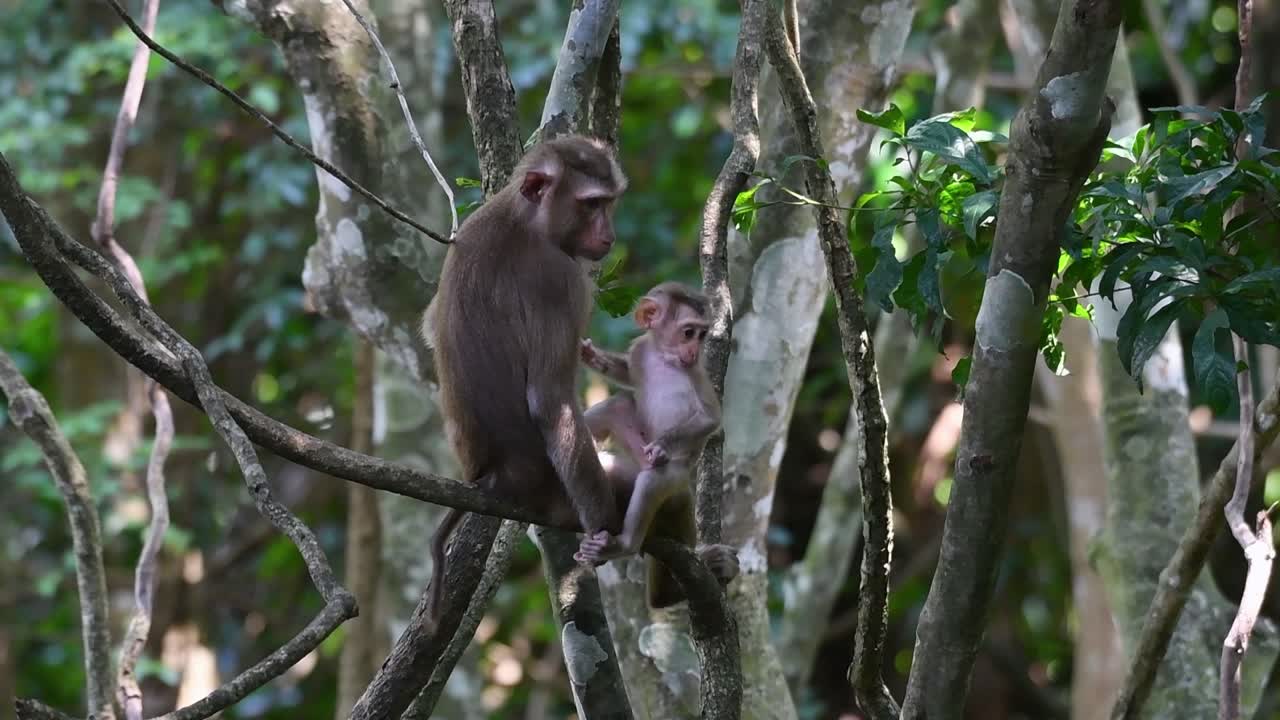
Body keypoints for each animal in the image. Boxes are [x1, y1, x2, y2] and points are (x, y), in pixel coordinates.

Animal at [420, 135, 628, 624]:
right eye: (591, 204)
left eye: (609, 202)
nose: (608, 235)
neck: (523, 216)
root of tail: (495, 476)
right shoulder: (563, 280)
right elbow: (550, 401)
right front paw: (604, 530)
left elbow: (428, 327)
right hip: (552, 492)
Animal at [572, 281, 740, 608]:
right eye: (688, 333)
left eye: (702, 335)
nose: (693, 350)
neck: (665, 357)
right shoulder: (642, 350)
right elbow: (626, 373)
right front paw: (591, 356)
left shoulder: (695, 370)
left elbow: (711, 418)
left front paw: (662, 446)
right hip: (629, 464)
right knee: (617, 405)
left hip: (674, 485)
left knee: (653, 480)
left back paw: (623, 544)